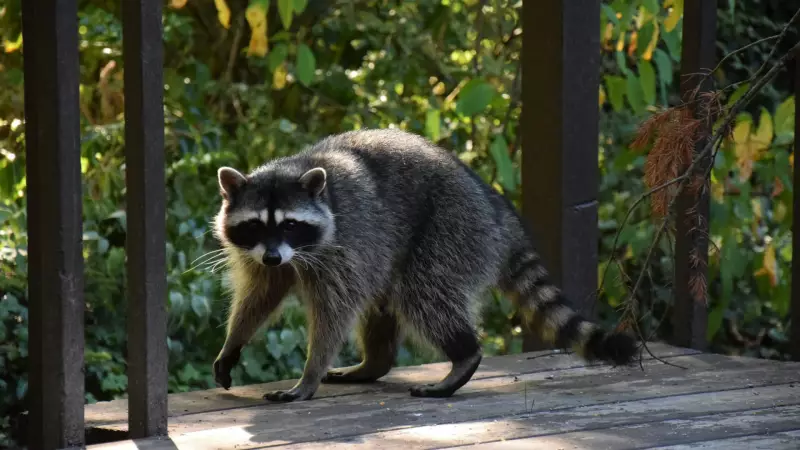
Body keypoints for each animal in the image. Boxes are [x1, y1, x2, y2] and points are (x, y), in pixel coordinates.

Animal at [211, 129, 637, 402]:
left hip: (451, 229)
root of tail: (496, 210)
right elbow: (260, 296)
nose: (273, 255)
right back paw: (375, 363)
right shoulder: (266, 256)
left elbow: (334, 312)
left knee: (424, 295)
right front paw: (234, 341)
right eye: (255, 225)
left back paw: (463, 355)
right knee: (385, 303)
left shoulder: (345, 245)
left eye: (290, 224)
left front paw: (309, 374)